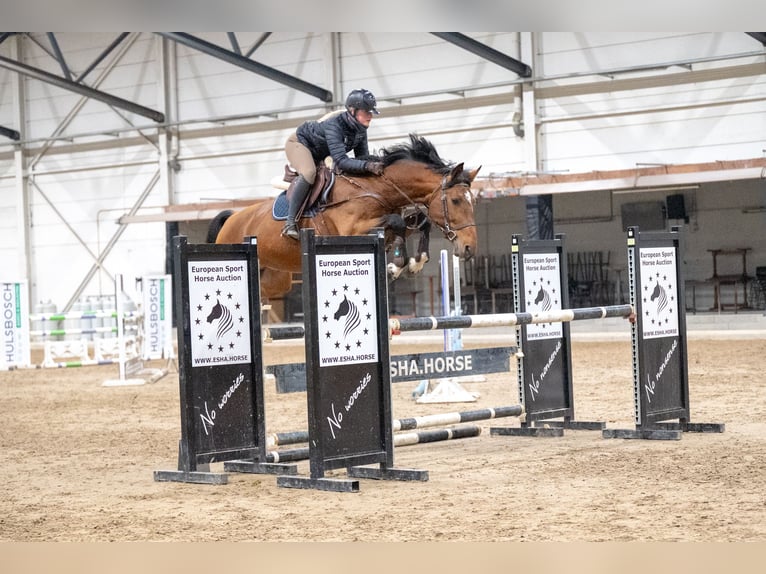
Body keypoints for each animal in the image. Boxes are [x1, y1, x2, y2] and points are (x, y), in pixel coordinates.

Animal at [204, 133, 480, 300]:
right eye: (455, 201)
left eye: (473, 202)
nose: (469, 249)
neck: (378, 188)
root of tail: (232, 218)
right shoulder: (352, 231)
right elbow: (398, 222)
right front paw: (397, 266)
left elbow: (420, 224)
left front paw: (415, 262)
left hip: (275, 278)